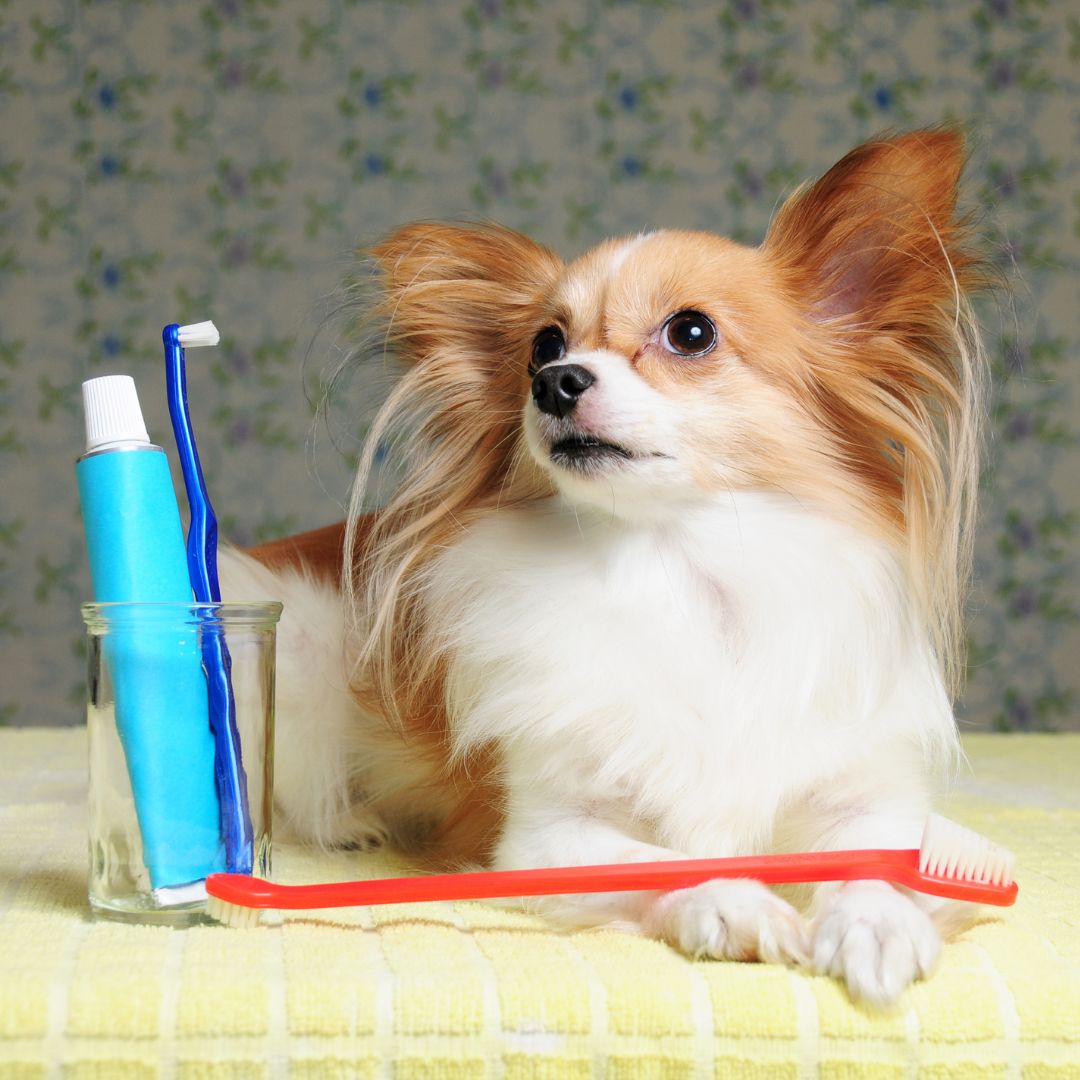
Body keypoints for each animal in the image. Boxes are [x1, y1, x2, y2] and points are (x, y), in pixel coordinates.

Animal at [223, 130, 989, 1006]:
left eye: (691, 333)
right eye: (542, 346)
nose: (555, 381)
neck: (677, 568)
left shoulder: (860, 797)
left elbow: (880, 862)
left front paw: (878, 921)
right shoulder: (547, 835)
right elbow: (664, 862)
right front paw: (735, 903)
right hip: (281, 653)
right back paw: (346, 822)